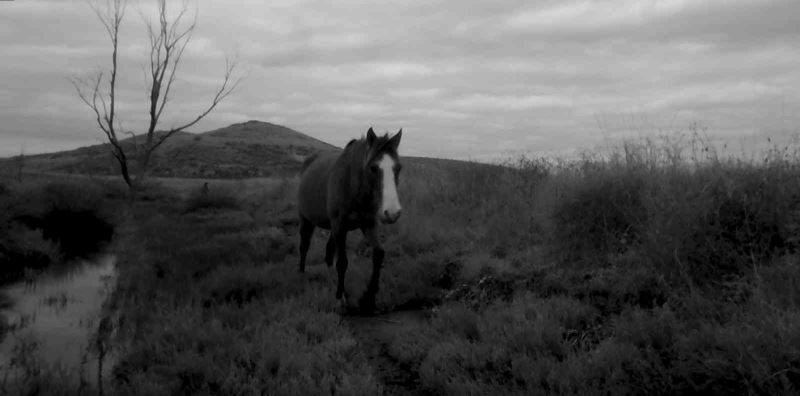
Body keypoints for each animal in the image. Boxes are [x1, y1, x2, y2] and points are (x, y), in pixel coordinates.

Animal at [296, 127, 404, 312]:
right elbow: (342, 262)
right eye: (373, 168)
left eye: (398, 168)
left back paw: (331, 278)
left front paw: (370, 296)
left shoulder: (368, 224)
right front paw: (340, 298)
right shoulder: (340, 226)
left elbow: (378, 254)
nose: (392, 213)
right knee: (304, 246)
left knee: (329, 251)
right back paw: (302, 274)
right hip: (307, 221)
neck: (352, 186)